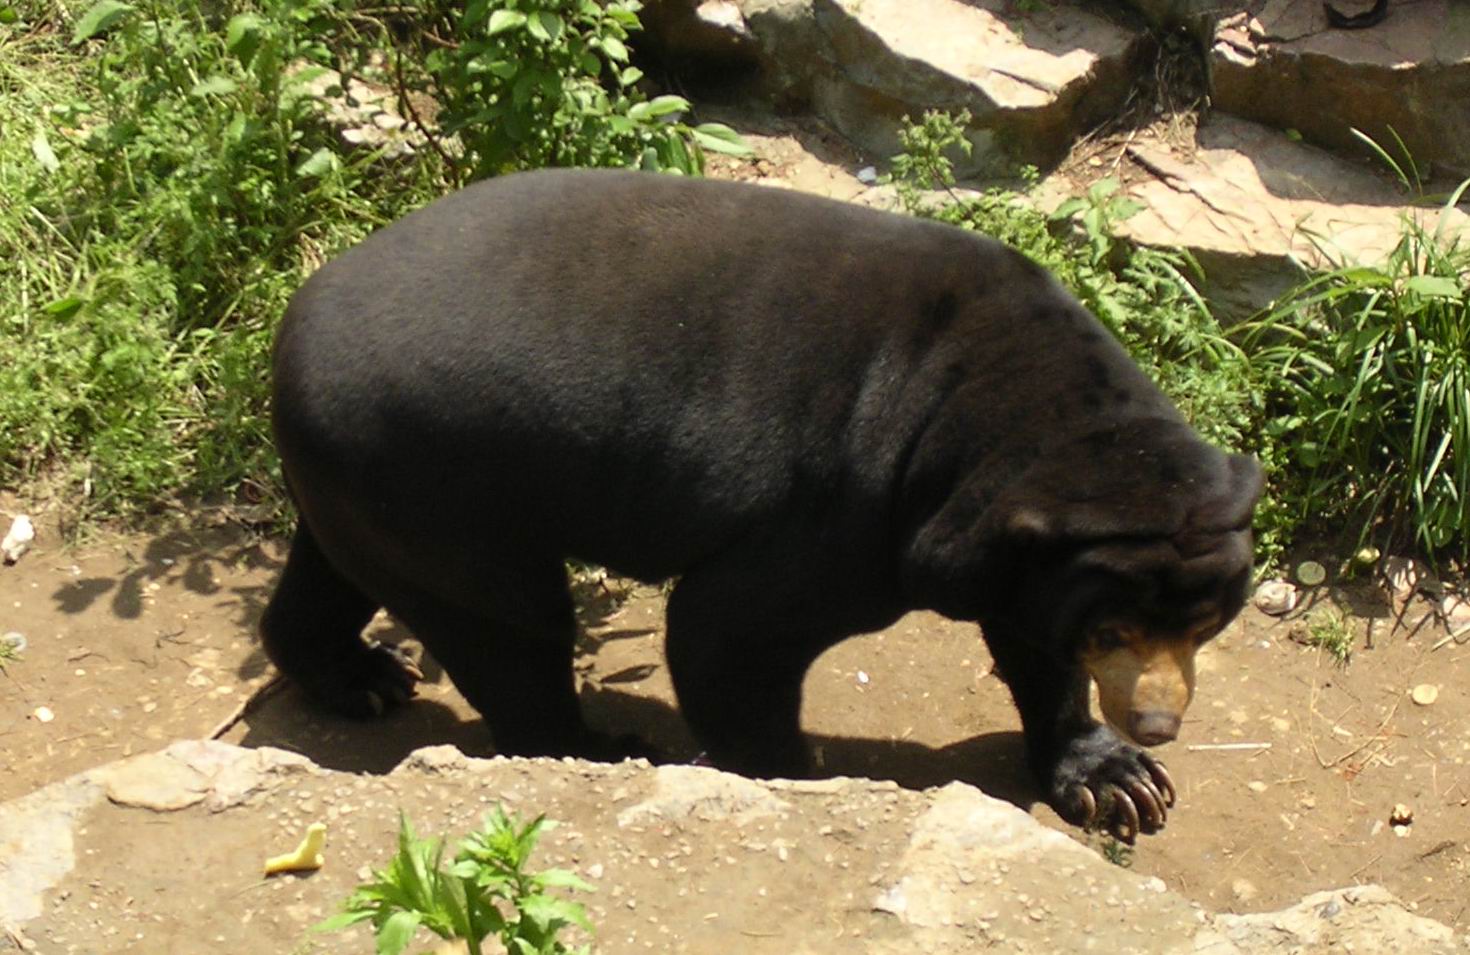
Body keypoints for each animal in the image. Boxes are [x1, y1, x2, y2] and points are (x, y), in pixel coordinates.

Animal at [261, 168, 1263, 843]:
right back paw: (599, 746)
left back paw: (360, 676)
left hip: (371, 480)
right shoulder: (857, 517)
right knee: (511, 630)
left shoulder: (1016, 546)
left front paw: (1118, 779)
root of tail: (287, 335)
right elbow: (727, 632)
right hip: (444, 477)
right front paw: (791, 775)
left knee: (343, 574)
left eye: (1204, 623)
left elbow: (1028, 634)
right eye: (1114, 630)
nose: (1159, 721)